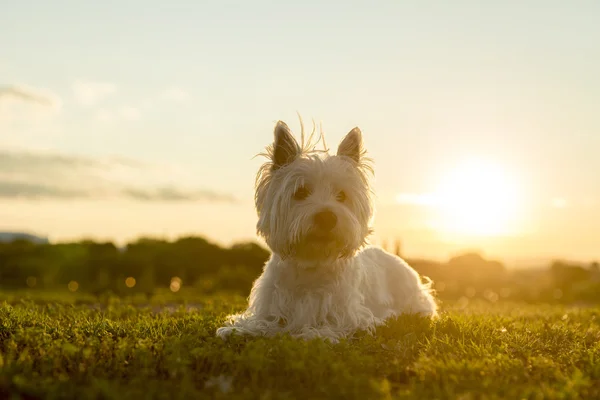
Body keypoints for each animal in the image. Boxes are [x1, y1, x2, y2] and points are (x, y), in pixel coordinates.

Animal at [216, 120, 436, 342]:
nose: (327, 217)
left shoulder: (348, 316)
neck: (311, 263)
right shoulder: (270, 306)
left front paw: (305, 334)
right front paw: (237, 330)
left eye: (342, 195)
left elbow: (322, 330)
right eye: (301, 192)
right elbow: (261, 321)